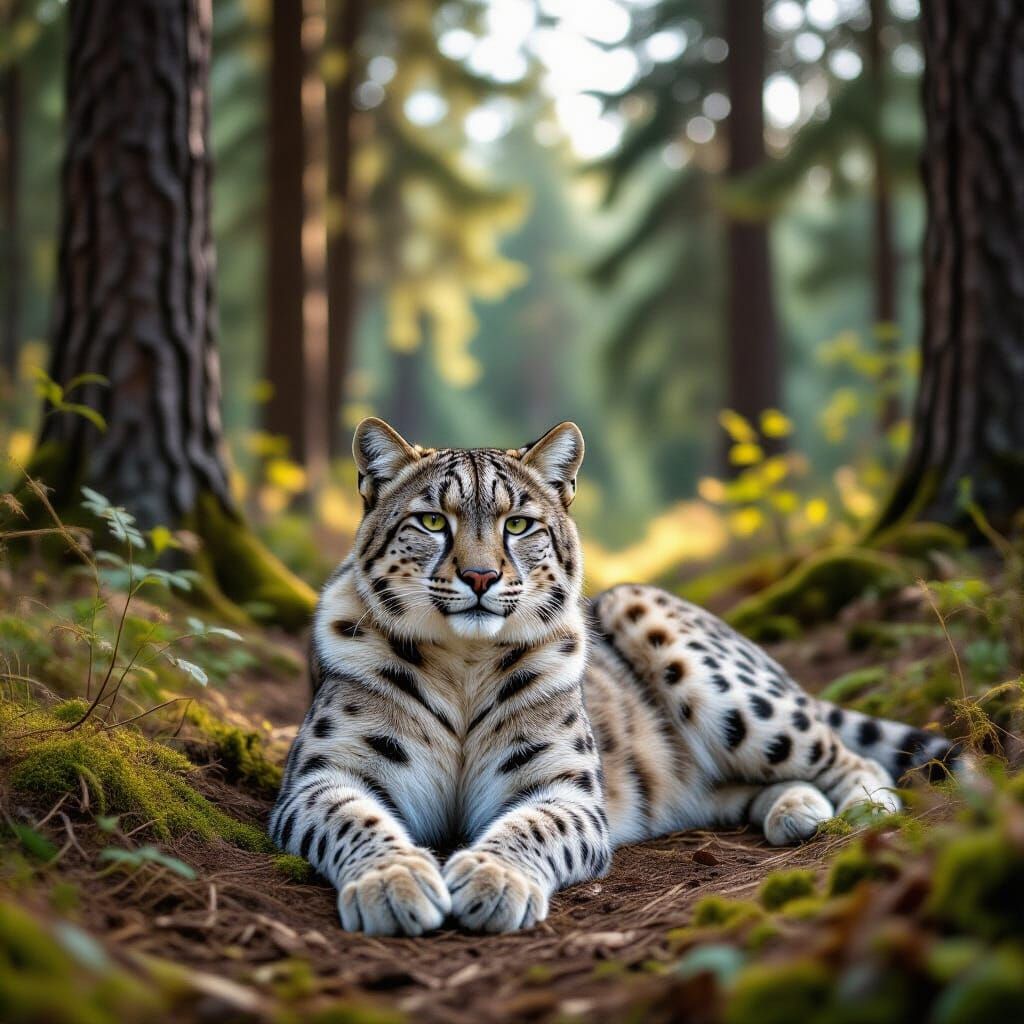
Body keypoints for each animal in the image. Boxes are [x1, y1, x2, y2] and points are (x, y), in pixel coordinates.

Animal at [269, 417, 964, 936]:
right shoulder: (323, 775)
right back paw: (797, 809)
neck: (463, 665)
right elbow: (352, 818)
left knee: (842, 751)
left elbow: (530, 827)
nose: (480, 577)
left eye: (518, 523)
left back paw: (863, 809)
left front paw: (494, 881)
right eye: (432, 521)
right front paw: (394, 883)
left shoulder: (563, 785)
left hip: (720, 682)